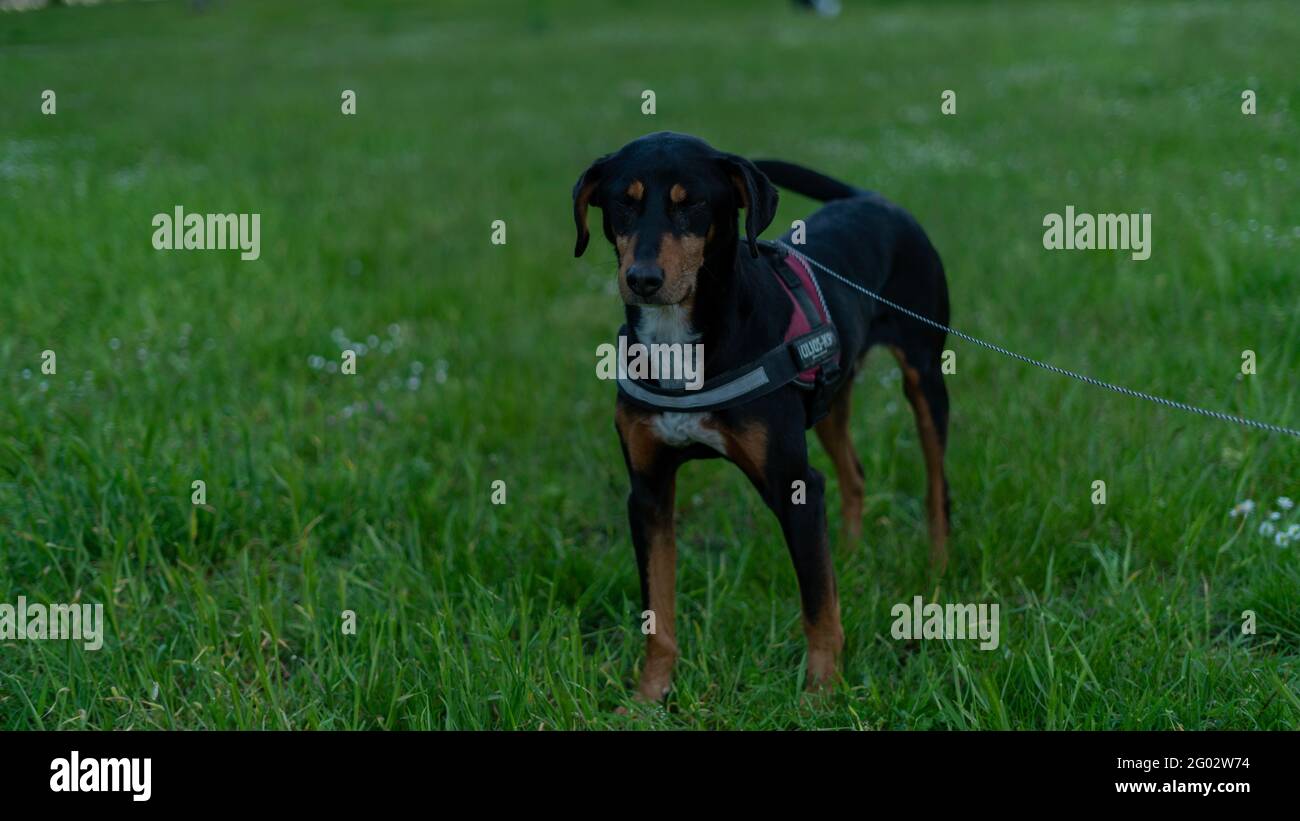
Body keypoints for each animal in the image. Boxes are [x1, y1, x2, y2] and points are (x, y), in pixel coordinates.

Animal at [574, 131, 951, 696]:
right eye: (625, 201)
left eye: (693, 204)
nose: (642, 279)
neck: (683, 343)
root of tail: (871, 198)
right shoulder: (648, 491)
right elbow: (657, 615)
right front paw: (647, 697)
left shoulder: (795, 485)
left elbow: (819, 607)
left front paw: (820, 696)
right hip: (833, 393)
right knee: (855, 474)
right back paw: (851, 555)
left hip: (925, 375)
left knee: (936, 488)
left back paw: (938, 572)